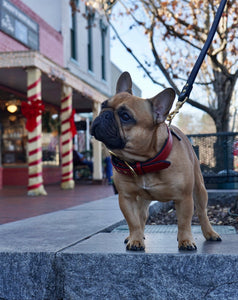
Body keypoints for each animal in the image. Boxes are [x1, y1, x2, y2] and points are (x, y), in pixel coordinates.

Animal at [91, 71, 221, 250]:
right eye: (103, 105)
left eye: (125, 116)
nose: (104, 114)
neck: (144, 161)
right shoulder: (126, 198)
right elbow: (133, 222)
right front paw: (135, 239)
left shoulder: (184, 198)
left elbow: (184, 222)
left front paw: (186, 240)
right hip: (142, 199)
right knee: (142, 216)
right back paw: (135, 236)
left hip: (199, 189)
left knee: (202, 212)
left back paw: (210, 233)